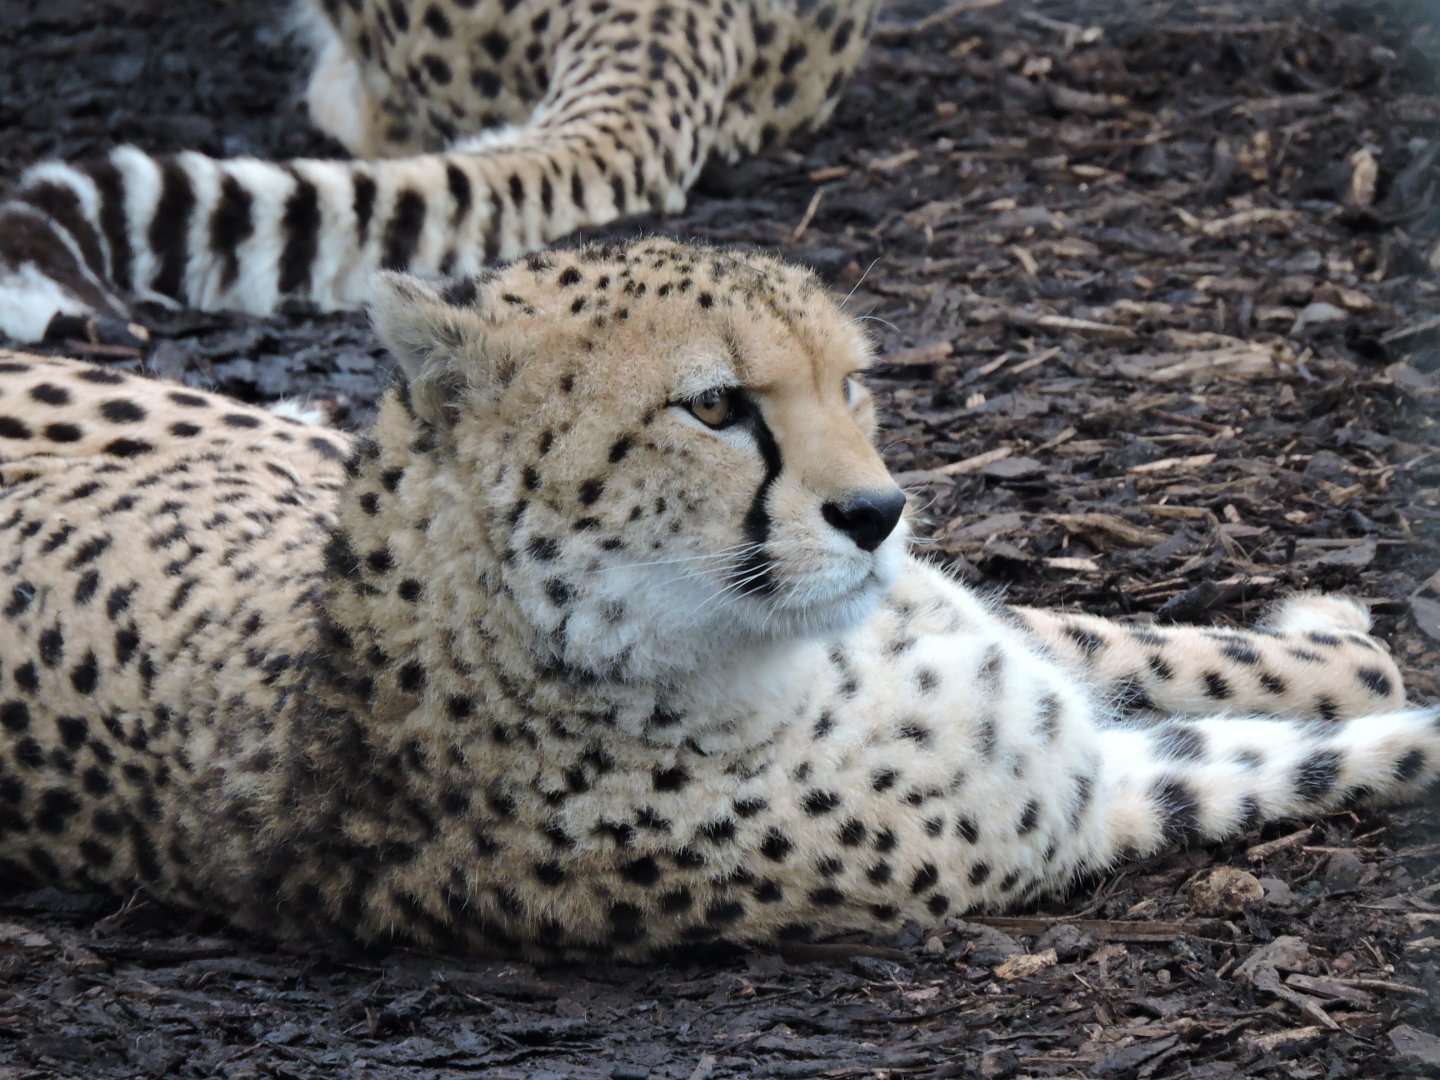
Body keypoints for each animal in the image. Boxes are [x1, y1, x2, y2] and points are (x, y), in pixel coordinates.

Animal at [0, 237, 1434, 959]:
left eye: (854, 383)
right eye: (717, 406)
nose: (878, 512)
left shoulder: (1013, 666)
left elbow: (1180, 654)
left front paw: (1321, 633)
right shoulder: (1097, 797)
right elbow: (1342, 753)